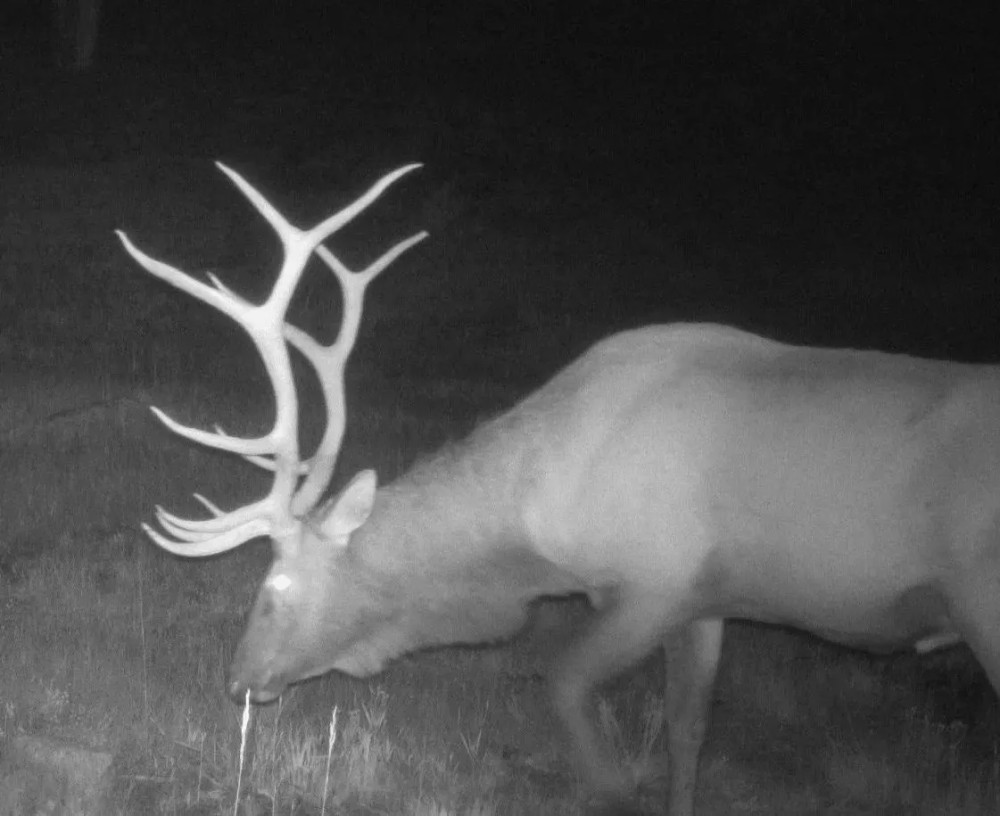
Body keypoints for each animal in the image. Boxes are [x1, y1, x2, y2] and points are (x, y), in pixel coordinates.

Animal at [118, 163, 1000, 816]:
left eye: (274, 589)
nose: (237, 680)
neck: (535, 543)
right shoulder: (706, 598)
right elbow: (688, 732)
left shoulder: (652, 580)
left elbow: (573, 698)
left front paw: (611, 785)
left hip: (982, 600)